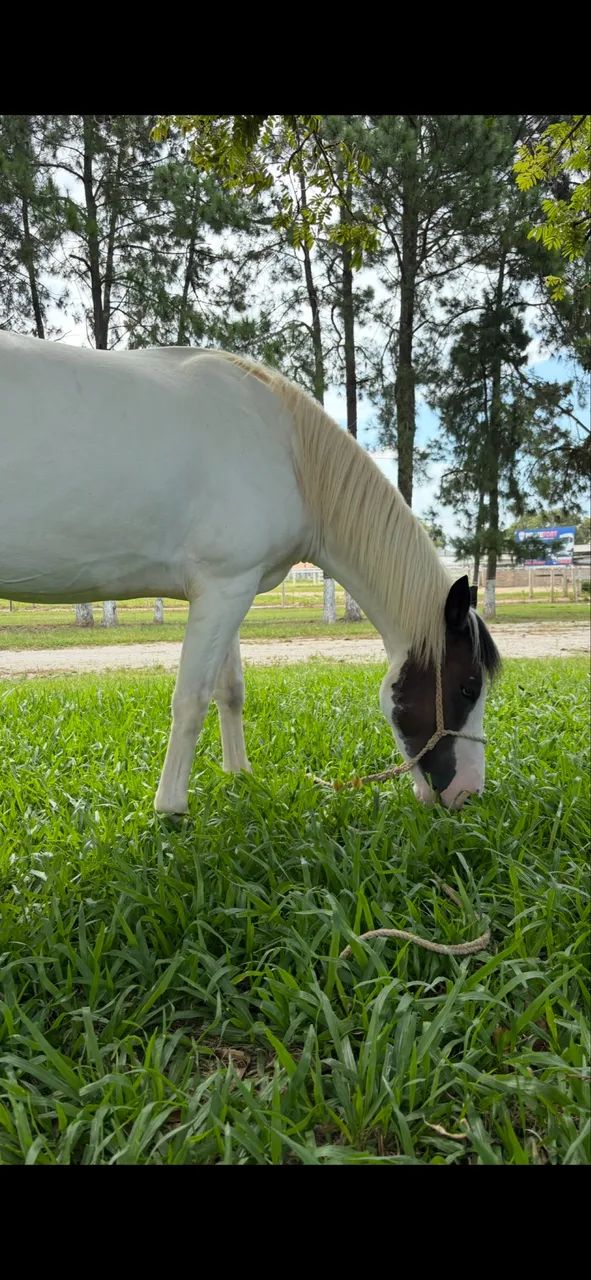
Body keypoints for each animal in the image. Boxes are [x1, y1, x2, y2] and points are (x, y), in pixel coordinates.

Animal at [1, 332, 501, 815]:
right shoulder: (224, 588)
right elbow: (191, 700)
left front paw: (238, 774)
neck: (288, 450)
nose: (468, 793)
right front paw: (170, 809)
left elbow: (230, 690)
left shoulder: (229, 590)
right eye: (468, 686)